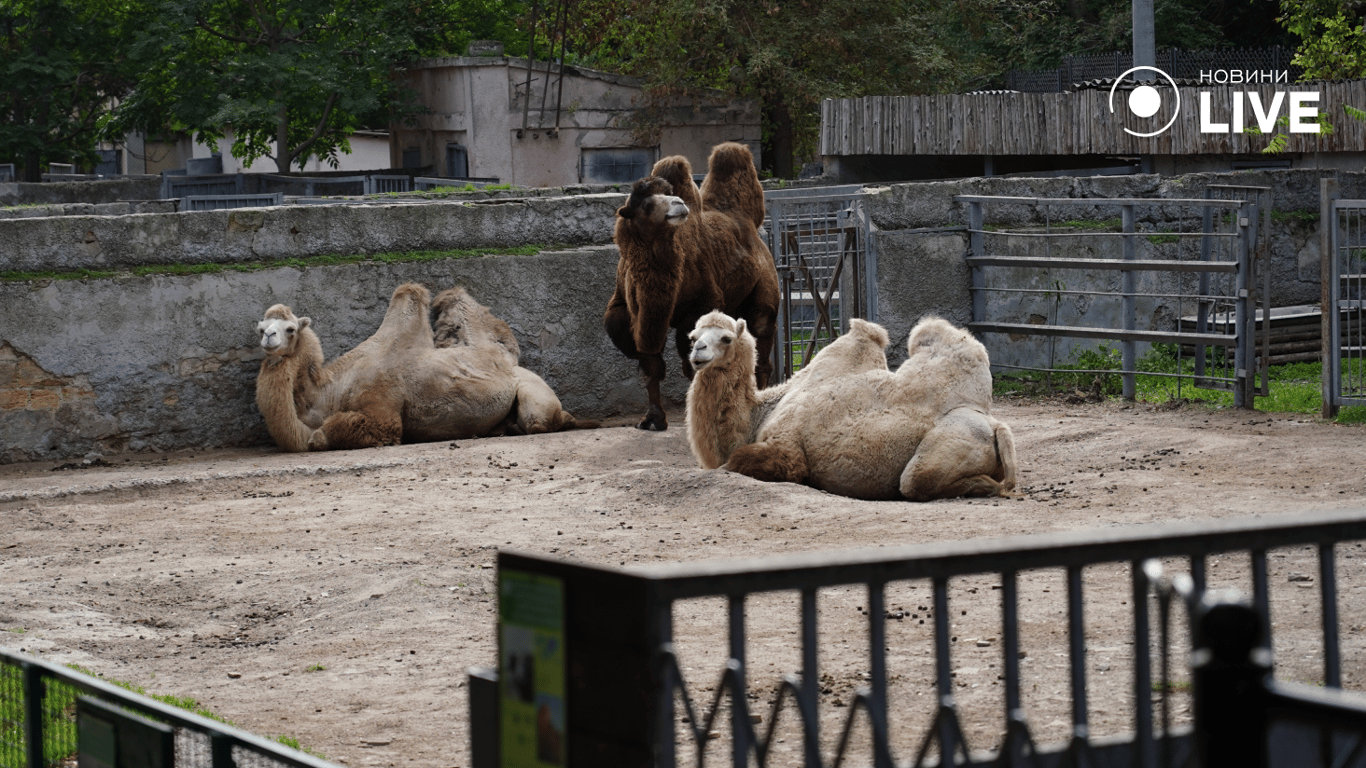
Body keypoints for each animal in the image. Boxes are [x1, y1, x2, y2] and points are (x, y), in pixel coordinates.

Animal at [254, 283, 521, 451]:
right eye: (261, 327)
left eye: (290, 329)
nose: (268, 337)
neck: (333, 389)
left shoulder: (382, 406)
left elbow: (322, 436)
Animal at [605, 141, 780, 431]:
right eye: (646, 204)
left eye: (670, 194)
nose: (678, 204)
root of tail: (751, 224)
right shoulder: (634, 313)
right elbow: (649, 363)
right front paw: (653, 419)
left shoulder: (700, 304)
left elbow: (691, 358)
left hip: (764, 287)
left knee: (762, 339)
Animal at [684, 311, 1018, 501]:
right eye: (693, 336)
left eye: (726, 338)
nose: (698, 352)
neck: (760, 412)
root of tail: (996, 425)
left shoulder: (788, 449)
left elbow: (735, 463)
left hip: (948, 443)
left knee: (915, 481)